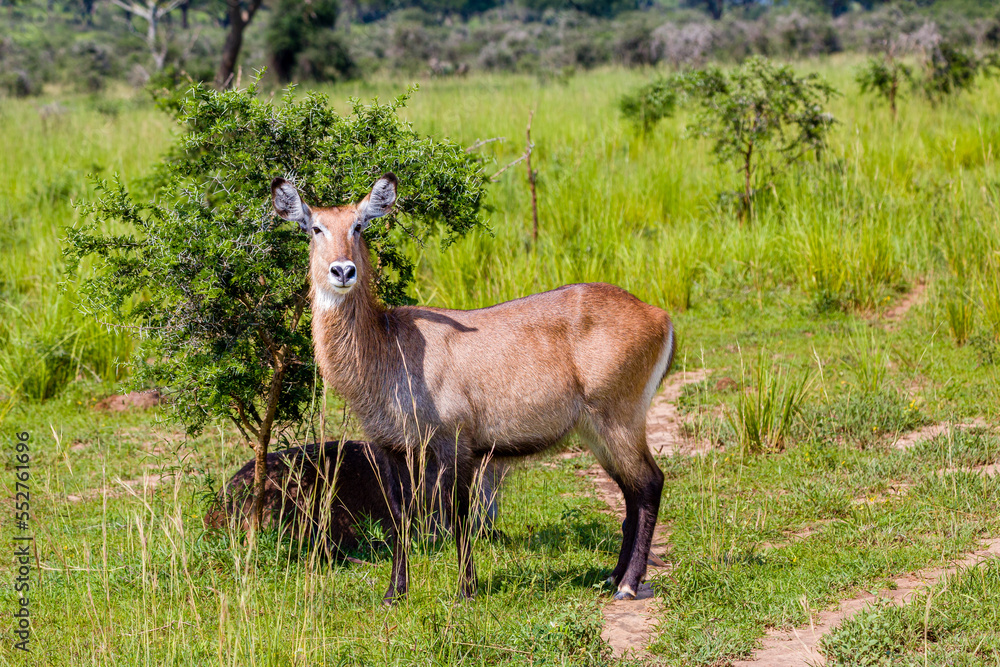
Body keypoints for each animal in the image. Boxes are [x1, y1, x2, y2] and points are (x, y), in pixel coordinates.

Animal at [271, 173, 675, 602]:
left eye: (358, 226)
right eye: (315, 228)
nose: (343, 270)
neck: (388, 347)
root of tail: (659, 315)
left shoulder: (457, 443)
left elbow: (461, 516)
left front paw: (466, 589)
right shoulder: (391, 447)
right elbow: (400, 518)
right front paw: (395, 593)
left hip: (619, 418)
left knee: (650, 484)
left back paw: (629, 584)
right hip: (595, 429)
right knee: (631, 492)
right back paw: (613, 577)